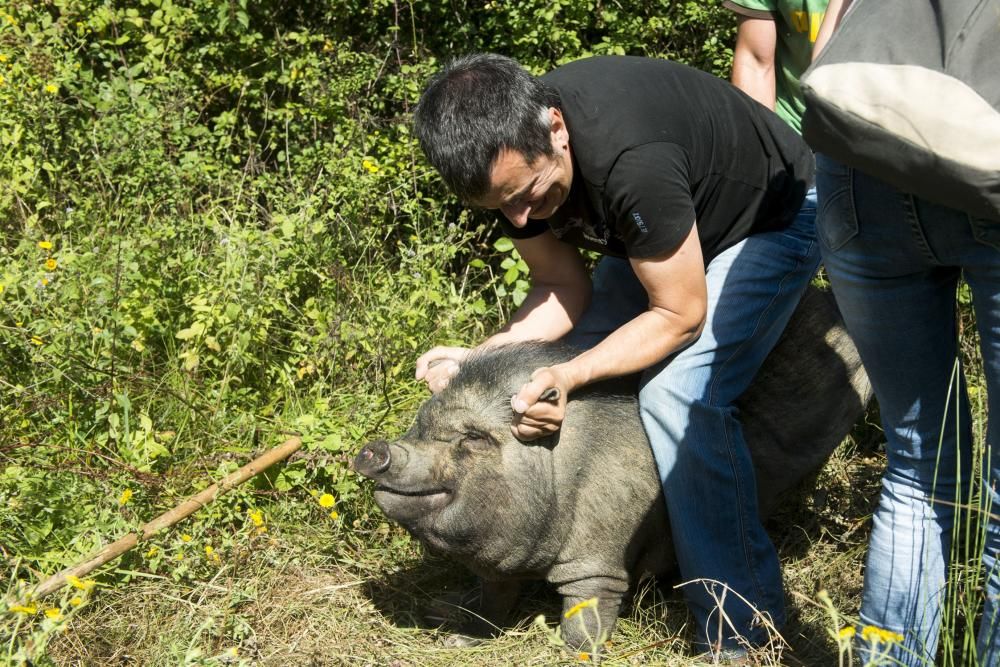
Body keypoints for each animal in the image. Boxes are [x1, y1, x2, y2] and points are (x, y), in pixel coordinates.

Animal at [356, 286, 872, 652]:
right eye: (421, 426)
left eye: (472, 439)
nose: (375, 449)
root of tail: (831, 301)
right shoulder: (497, 568)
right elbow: (493, 599)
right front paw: (455, 636)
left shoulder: (600, 558)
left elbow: (586, 610)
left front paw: (575, 652)